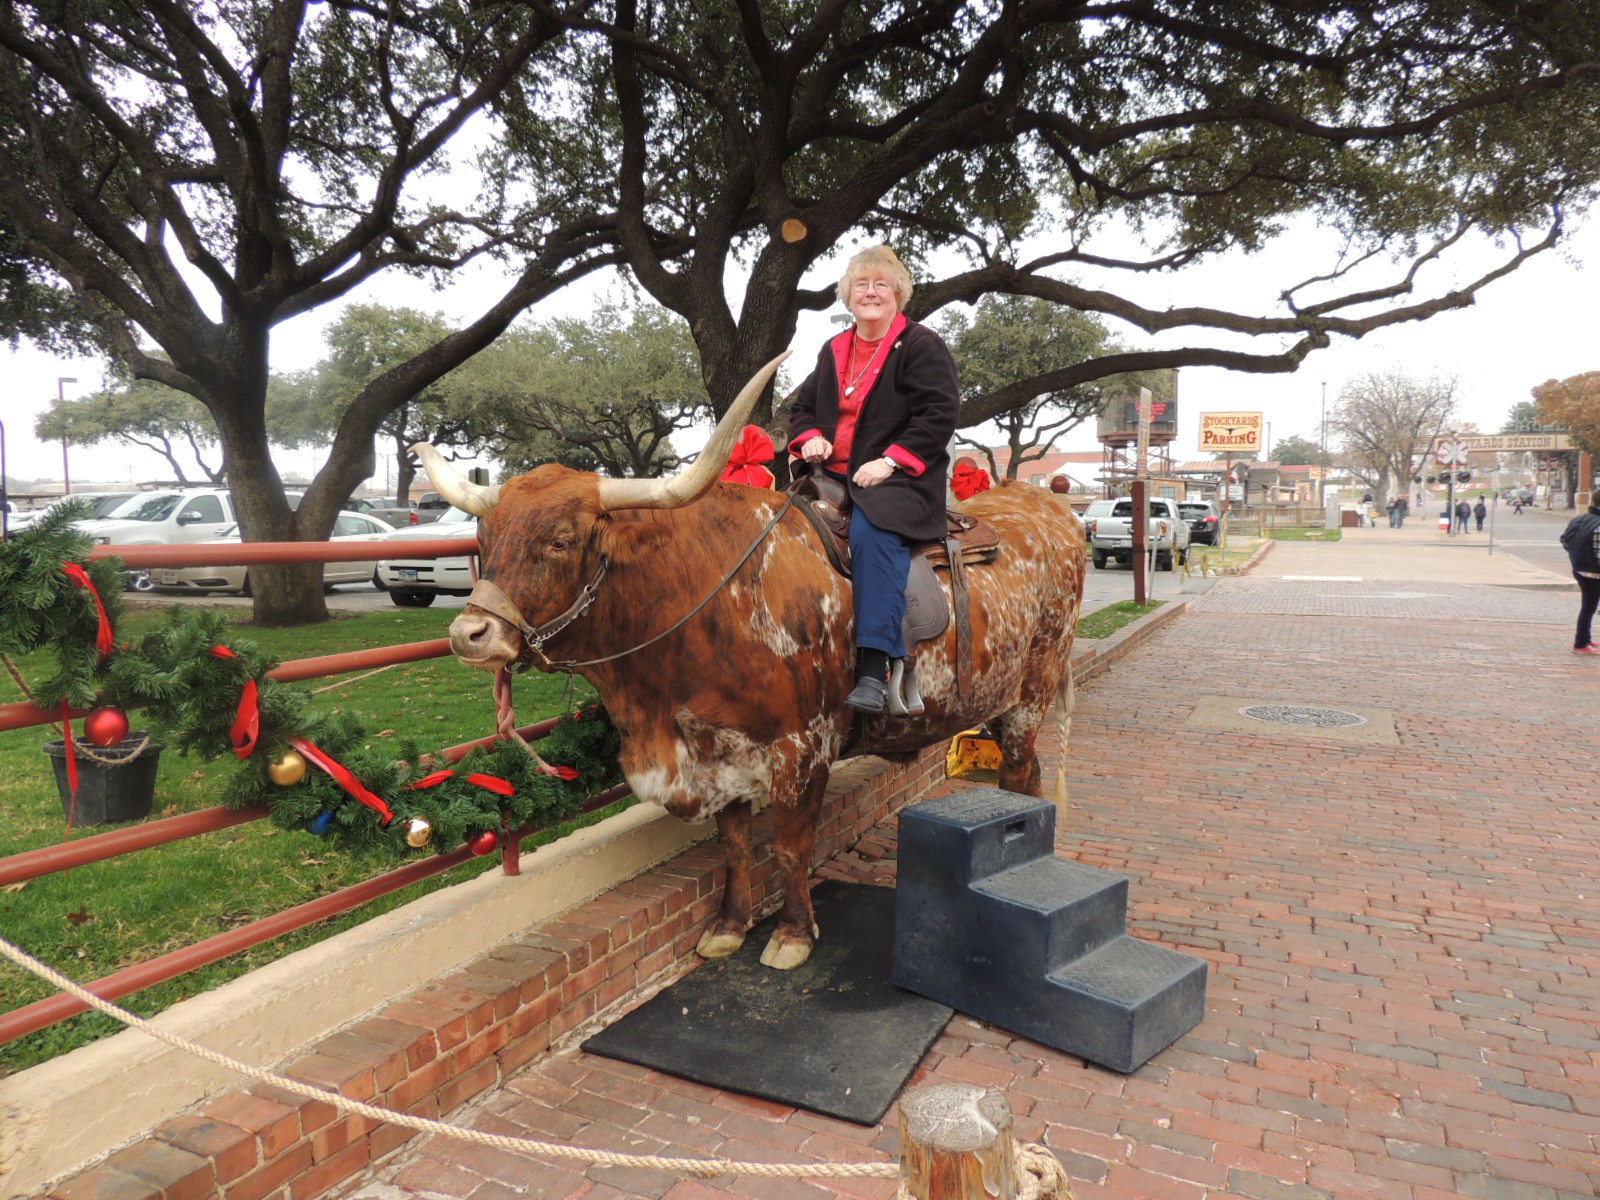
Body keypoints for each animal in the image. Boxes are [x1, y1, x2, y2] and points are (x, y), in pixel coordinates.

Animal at [415, 354, 1085, 970]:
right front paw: (730, 926)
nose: (469, 634)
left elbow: (789, 846)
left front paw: (791, 934)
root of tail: (1050, 510)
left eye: (560, 539)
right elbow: (735, 847)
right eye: (484, 539)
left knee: (1020, 774)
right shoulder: (720, 751)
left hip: (1031, 694)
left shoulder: (802, 749)